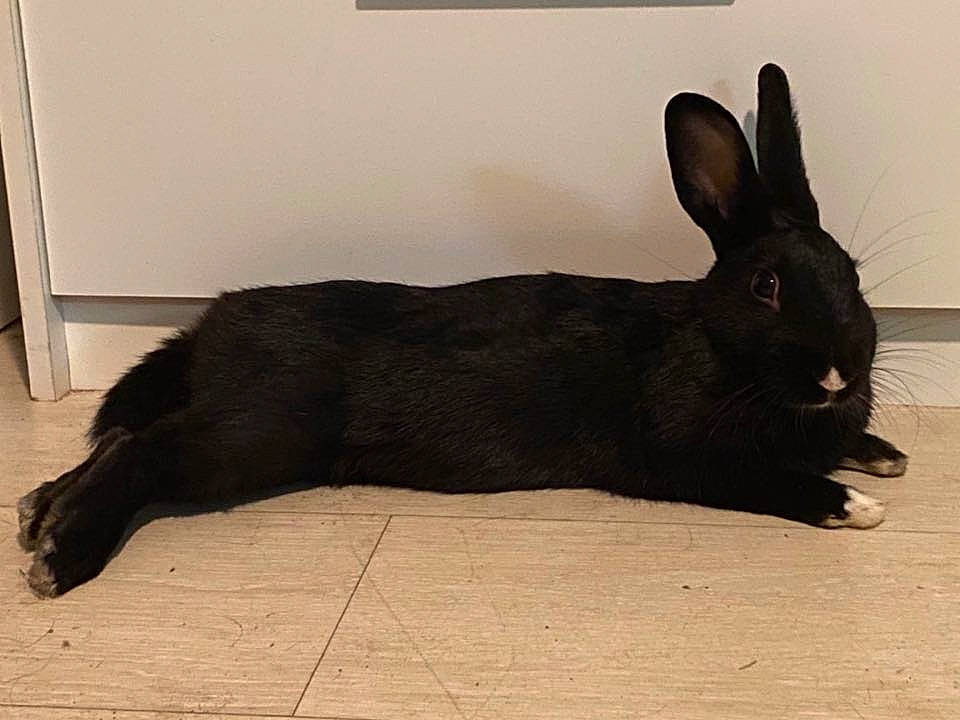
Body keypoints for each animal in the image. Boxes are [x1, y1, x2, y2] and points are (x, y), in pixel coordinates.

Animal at [16, 63, 907, 597]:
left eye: (855, 273)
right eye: (766, 286)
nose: (842, 370)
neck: (721, 350)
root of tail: (211, 325)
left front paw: (884, 454)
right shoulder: (689, 457)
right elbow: (774, 480)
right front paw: (857, 504)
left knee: (119, 438)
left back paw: (36, 515)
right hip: (261, 430)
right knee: (143, 448)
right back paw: (63, 556)